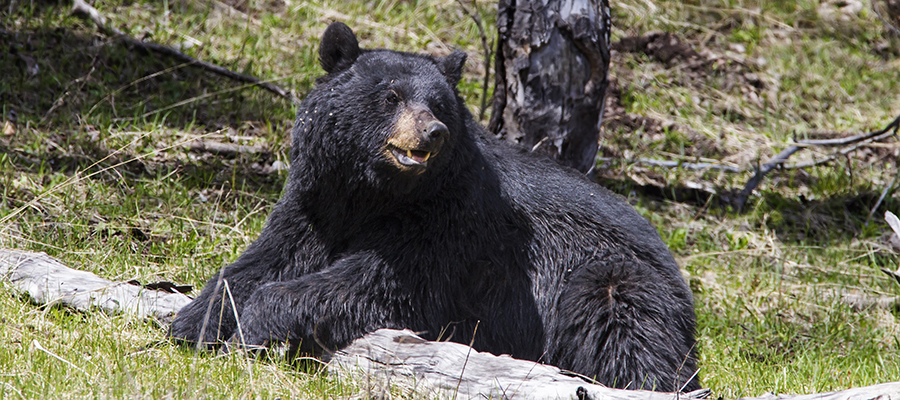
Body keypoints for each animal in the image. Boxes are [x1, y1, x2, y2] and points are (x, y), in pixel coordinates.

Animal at [169, 22, 700, 392]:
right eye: (391, 96)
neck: (375, 193)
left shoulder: (449, 221)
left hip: (616, 278)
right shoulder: (316, 200)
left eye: (440, 104)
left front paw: (260, 318)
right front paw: (195, 318)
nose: (432, 132)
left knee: (625, 326)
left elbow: (379, 283)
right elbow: (268, 256)